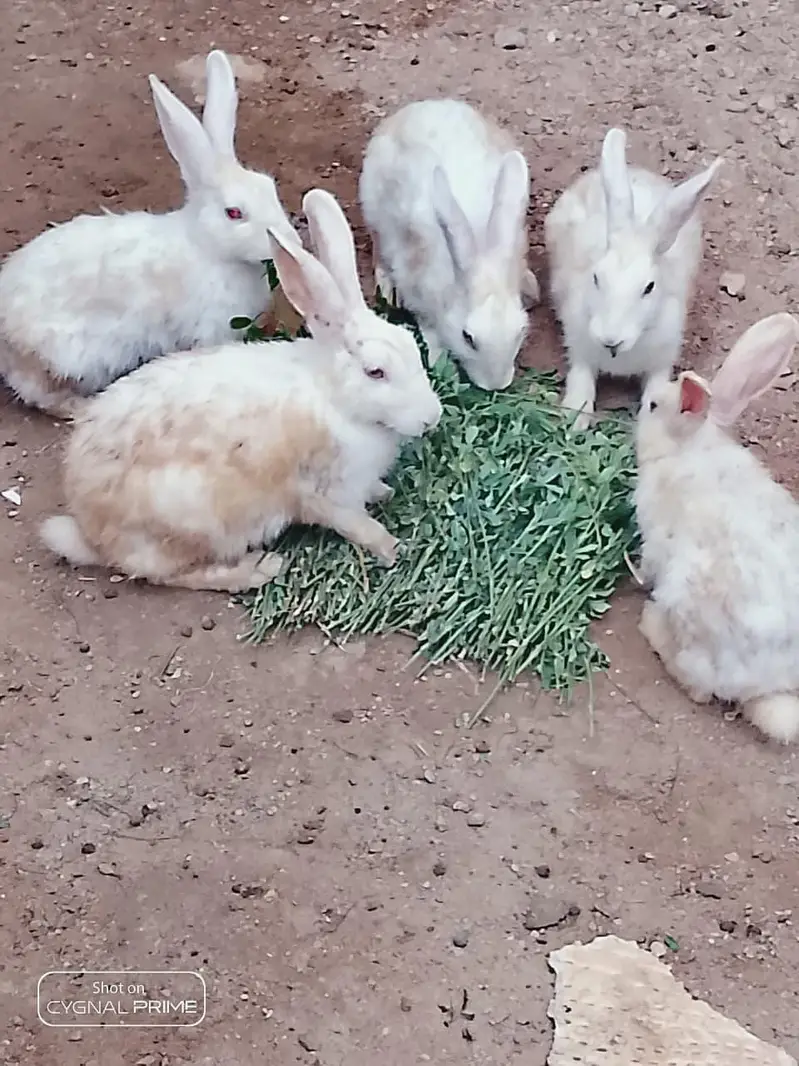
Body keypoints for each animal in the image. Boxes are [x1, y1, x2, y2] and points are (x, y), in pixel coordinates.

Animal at [0, 49, 300, 420]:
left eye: (270, 187)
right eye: (234, 213)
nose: (292, 242)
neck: (207, 247)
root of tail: (6, 340)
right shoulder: (212, 327)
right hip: (68, 359)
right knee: (42, 395)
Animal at [38, 188, 443, 594]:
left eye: (412, 346)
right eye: (376, 372)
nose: (432, 417)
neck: (338, 398)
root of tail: (90, 530)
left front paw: (383, 493)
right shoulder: (325, 493)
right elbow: (355, 524)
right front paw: (391, 548)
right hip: (195, 520)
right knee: (177, 574)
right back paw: (259, 568)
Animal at [358, 98, 539, 392]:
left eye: (520, 331)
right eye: (468, 337)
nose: (496, 385)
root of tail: (424, 105)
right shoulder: (418, 290)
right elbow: (430, 331)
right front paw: (442, 365)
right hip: (373, 210)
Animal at [544, 127, 722, 431]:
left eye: (649, 287)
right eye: (596, 277)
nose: (610, 340)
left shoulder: (663, 359)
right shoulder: (579, 347)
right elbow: (581, 381)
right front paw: (575, 421)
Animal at [635, 311, 799, 744]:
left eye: (653, 405)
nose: (638, 406)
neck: (687, 447)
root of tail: (768, 684)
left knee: (698, 688)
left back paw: (651, 624)